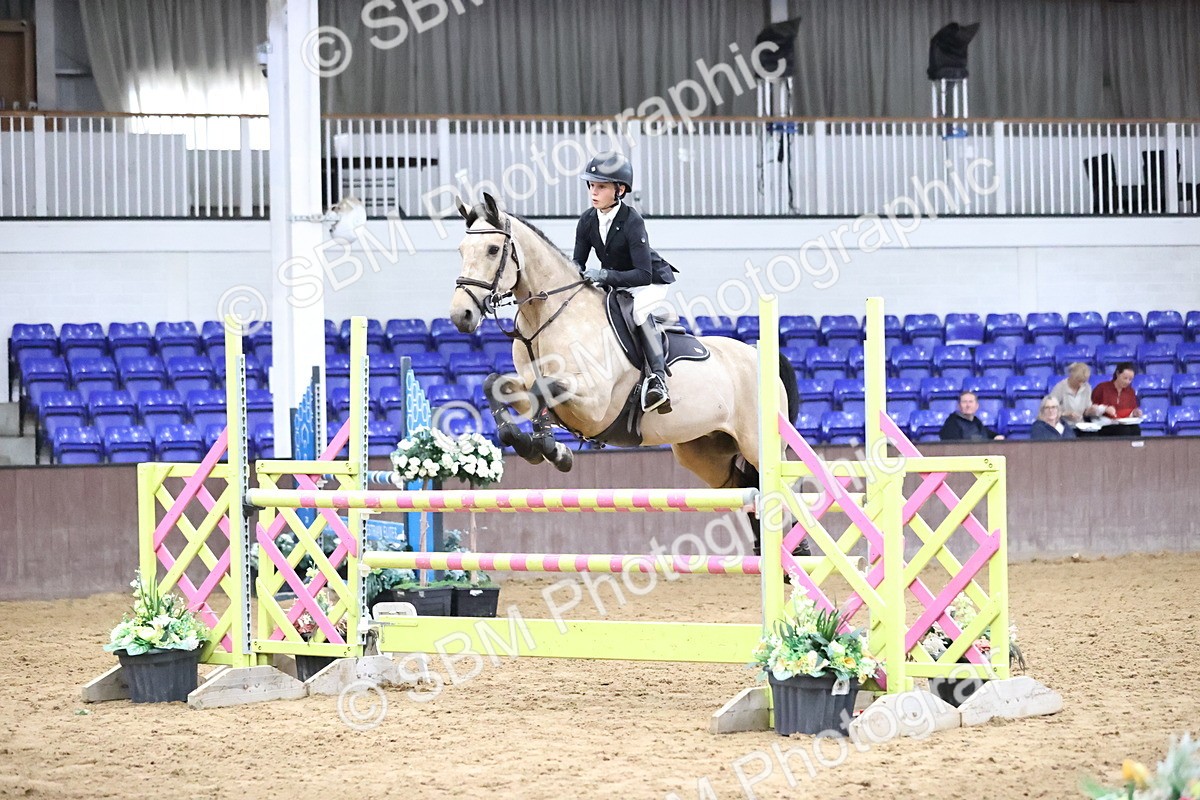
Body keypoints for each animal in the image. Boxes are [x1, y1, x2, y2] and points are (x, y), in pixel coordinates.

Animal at [447, 193, 800, 543]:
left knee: (784, 492)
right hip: (702, 451)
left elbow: (542, 389)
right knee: (742, 486)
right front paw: (538, 447)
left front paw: (552, 450)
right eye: (461, 250)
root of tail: (754, 352)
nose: (461, 315)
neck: (546, 319)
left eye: (493, 250)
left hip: (757, 445)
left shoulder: (595, 407)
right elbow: (494, 384)